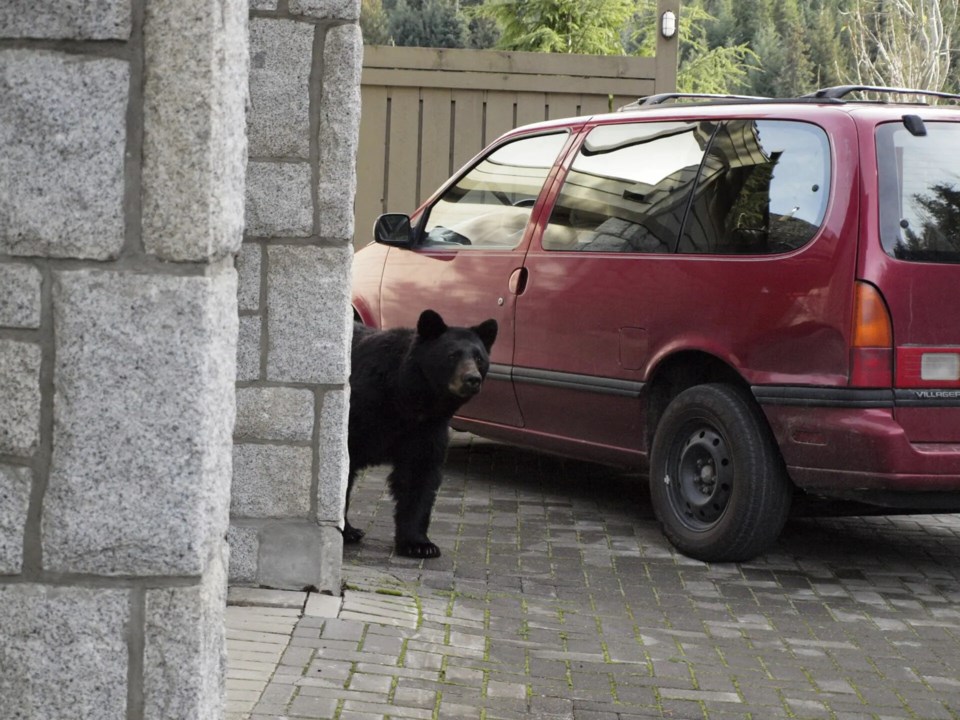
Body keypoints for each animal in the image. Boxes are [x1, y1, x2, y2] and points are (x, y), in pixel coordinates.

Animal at [344, 308, 498, 556]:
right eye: (452, 355)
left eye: (479, 358)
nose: (472, 379)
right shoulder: (361, 412)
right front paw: (346, 530)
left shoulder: (427, 429)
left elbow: (419, 475)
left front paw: (419, 544)